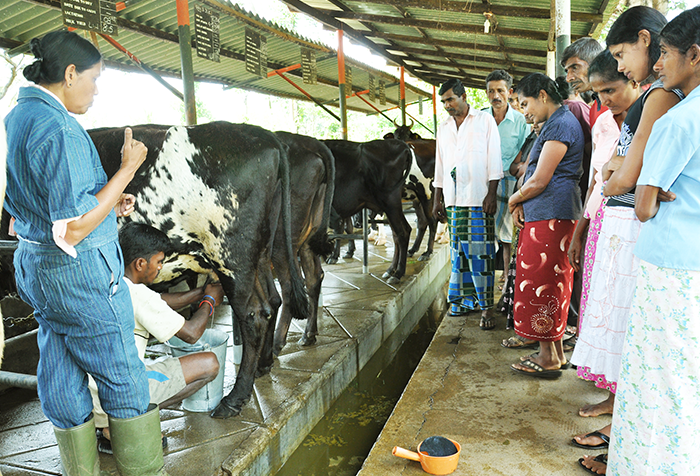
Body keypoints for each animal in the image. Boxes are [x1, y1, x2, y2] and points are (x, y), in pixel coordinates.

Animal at [89, 121, 308, 418]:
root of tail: (259, 133)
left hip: (231, 256)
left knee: (253, 315)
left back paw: (234, 398)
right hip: (259, 253)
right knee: (271, 301)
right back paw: (263, 366)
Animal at [322, 139, 412, 284]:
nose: (359, 223)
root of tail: (402, 145)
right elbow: (346, 228)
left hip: (391, 202)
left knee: (402, 231)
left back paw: (398, 273)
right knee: (397, 234)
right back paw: (390, 270)